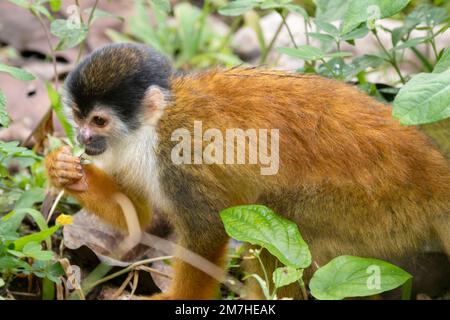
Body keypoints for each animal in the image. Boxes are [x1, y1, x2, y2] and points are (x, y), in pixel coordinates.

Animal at [46, 43, 450, 300]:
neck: (152, 127)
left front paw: (175, 297)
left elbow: (207, 232)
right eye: (79, 117)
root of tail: (435, 174)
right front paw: (66, 172)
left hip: (375, 206)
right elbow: (137, 216)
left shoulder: (178, 159)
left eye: (99, 121)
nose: (82, 138)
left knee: (283, 223)